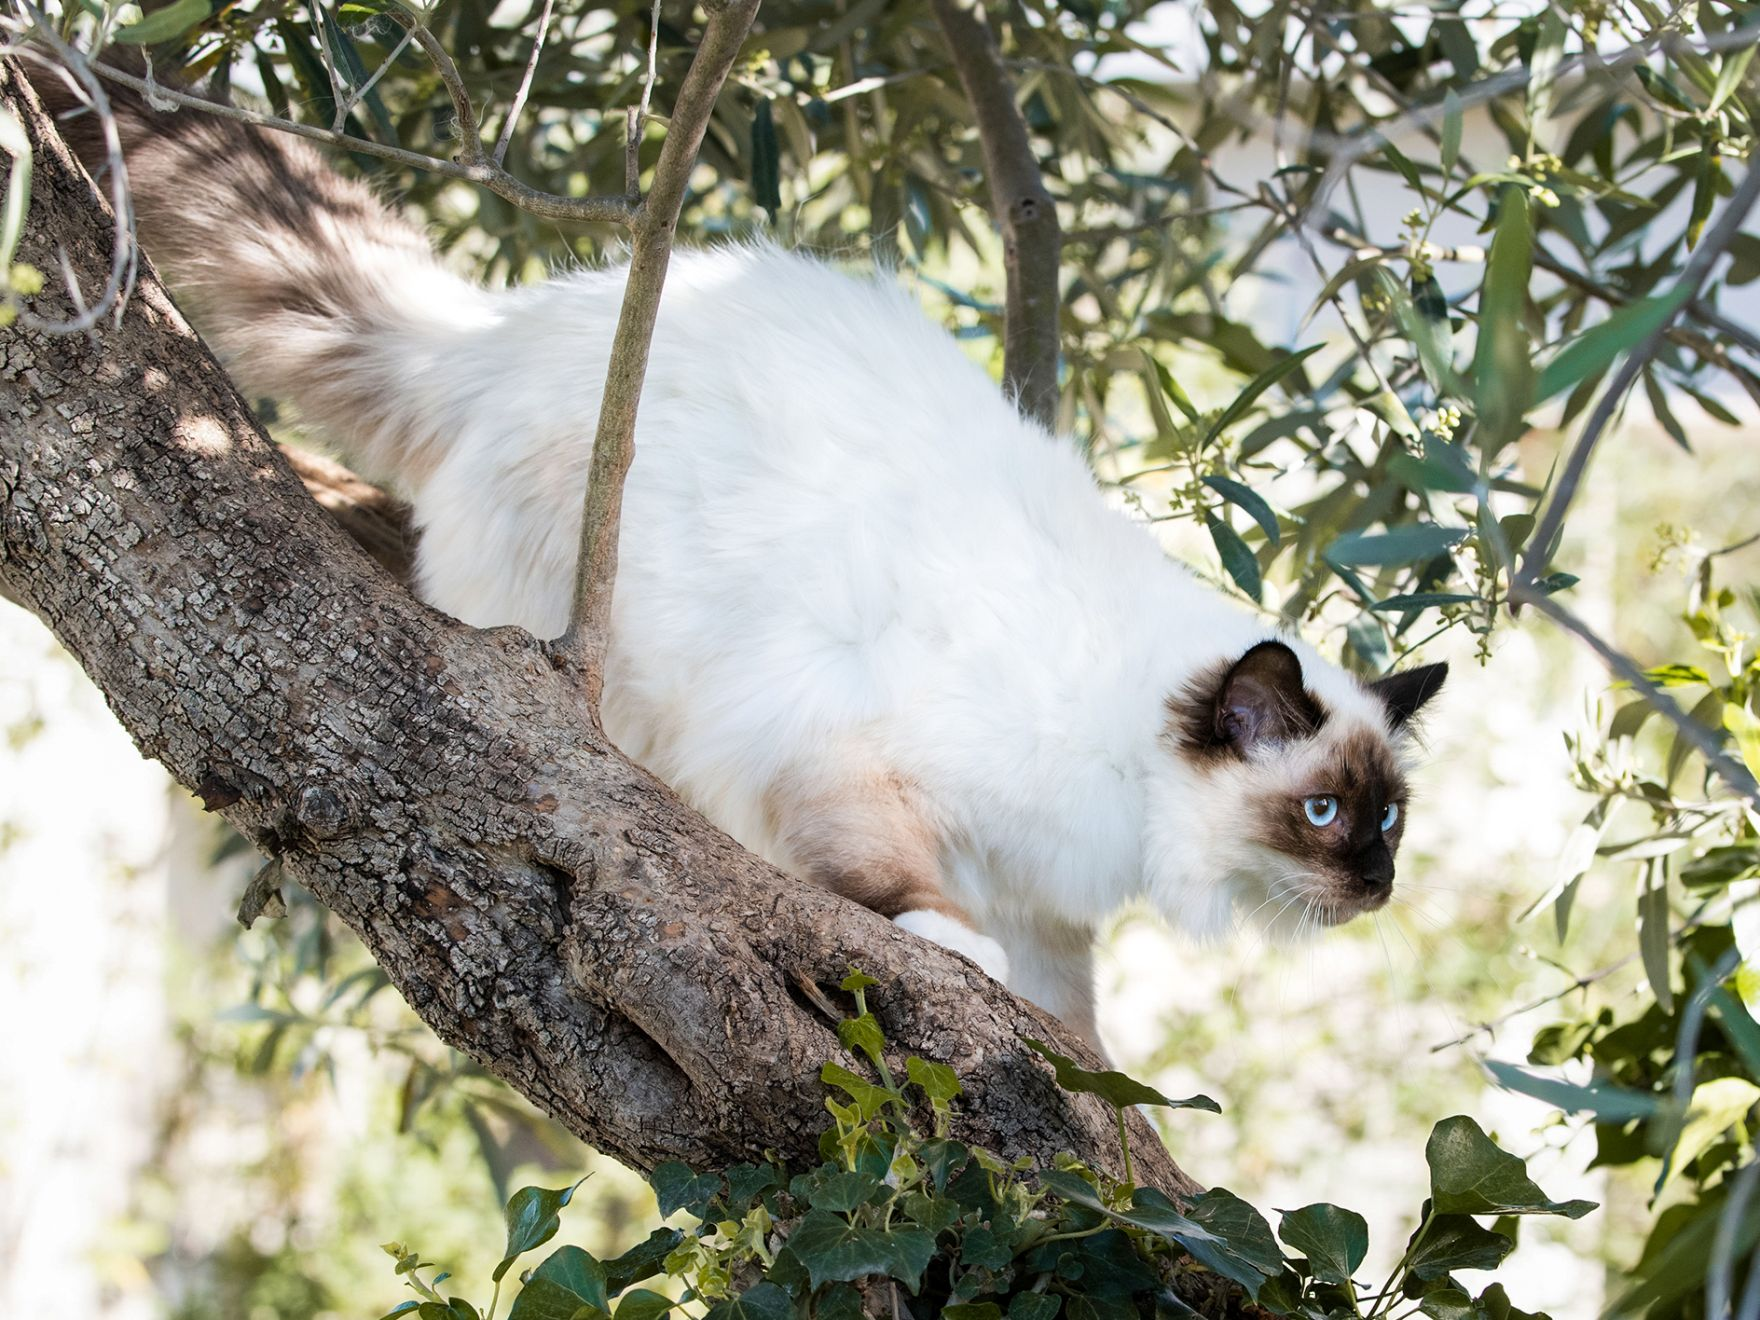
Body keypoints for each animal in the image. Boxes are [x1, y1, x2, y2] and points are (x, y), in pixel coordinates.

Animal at [41, 69, 1443, 1041]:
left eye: (1388, 820)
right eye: (1322, 814)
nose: (1377, 884)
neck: (1120, 773)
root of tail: (494, 335)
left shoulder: (1044, 897)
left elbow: (1073, 1024)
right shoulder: (842, 747)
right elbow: (900, 888)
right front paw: (949, 952)